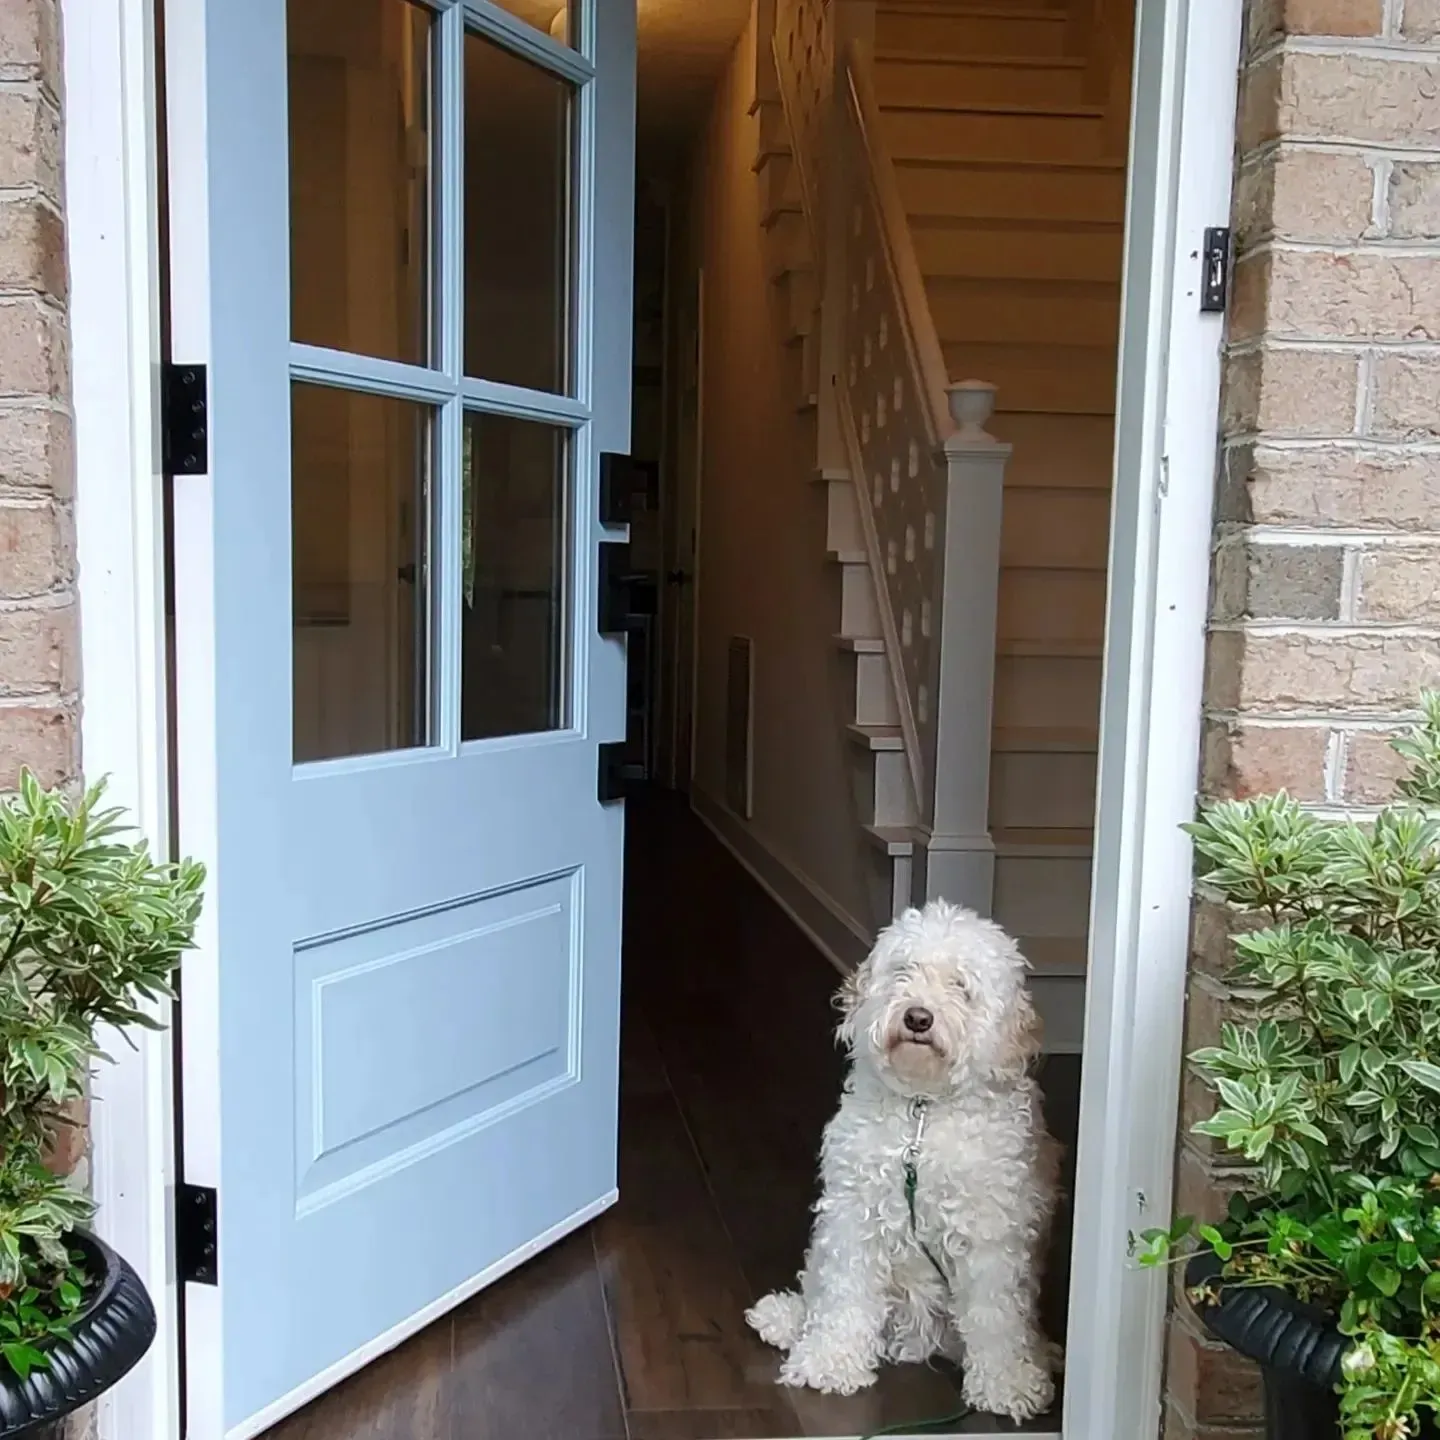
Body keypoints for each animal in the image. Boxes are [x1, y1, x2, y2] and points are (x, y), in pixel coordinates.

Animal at [748, 898, 1065, 1416]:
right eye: (904, 971)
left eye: (962, 986)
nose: (918, 1017)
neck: (922, 1113)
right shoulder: (854, 1214)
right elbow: (844, 1291)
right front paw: (830, 1363)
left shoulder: (992, 1236)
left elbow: (996, 1314)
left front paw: (1007, 1384)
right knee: (816, 1285)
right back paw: (787, 1317)